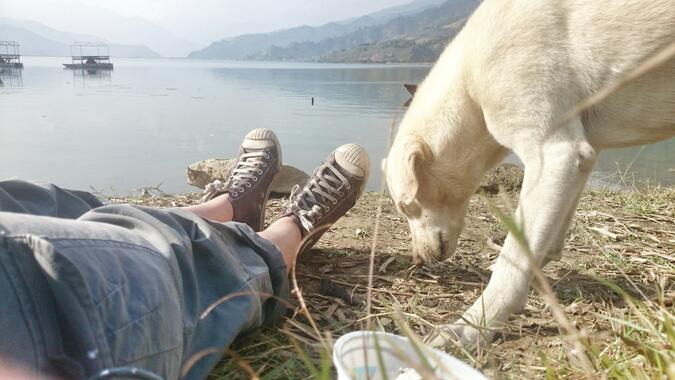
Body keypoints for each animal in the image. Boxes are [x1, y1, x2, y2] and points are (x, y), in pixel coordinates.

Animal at [386, 0, 675, 348]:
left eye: (405, 207)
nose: (418, 259)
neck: (470, 82)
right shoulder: (579, 158)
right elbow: (542, 242)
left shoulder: (555, 154)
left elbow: (513, 258)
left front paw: (473, 324)